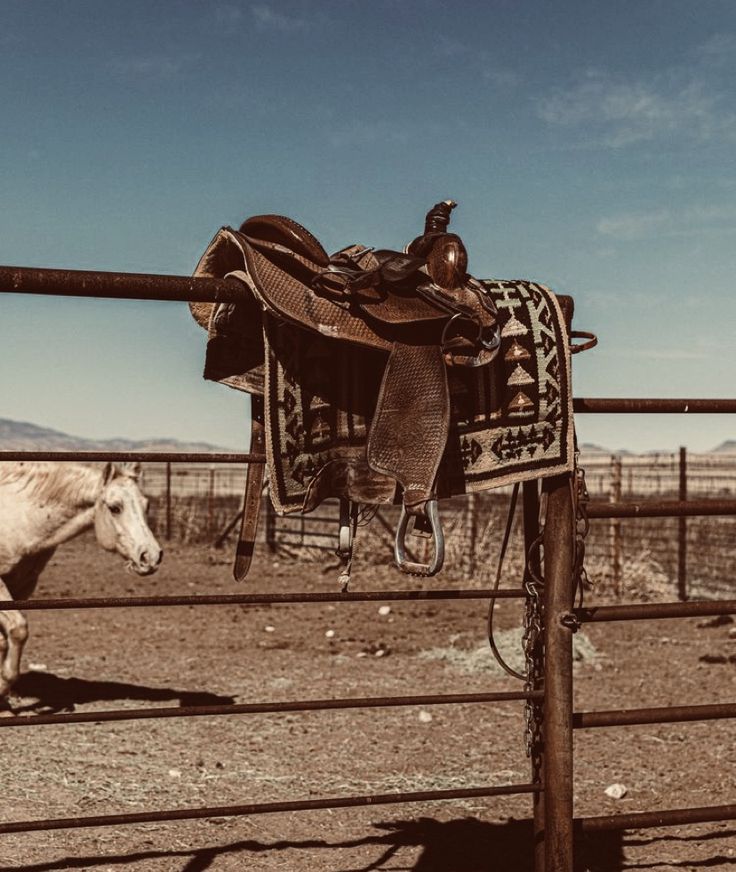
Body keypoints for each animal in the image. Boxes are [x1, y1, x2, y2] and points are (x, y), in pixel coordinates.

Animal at [0, 460, 162, 700]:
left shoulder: (21, 585)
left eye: (146, 505)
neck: (17, 515)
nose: (151, 556)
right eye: (115, 507)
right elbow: (19, 628)